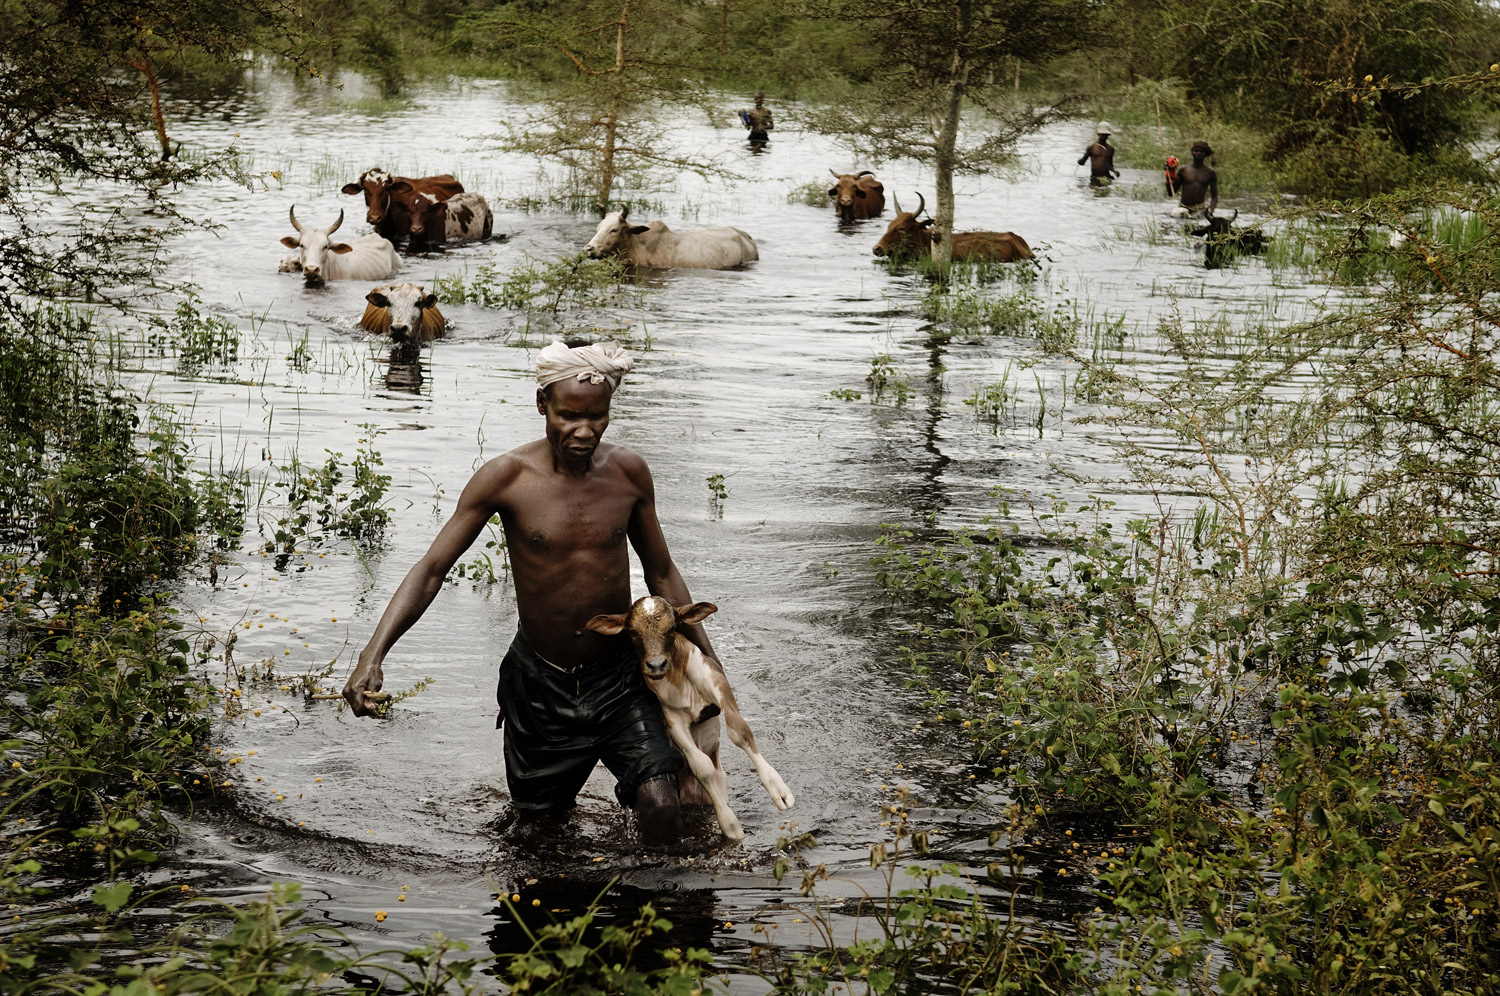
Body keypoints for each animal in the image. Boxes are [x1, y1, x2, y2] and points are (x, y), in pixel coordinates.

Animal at [585, 600, 798, 840]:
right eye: (633, 632)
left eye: (671, 628)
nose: (656, 664)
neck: (677, 679)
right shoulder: (673, 720)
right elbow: (701, 766)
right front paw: (730, 824)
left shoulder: (717, 684)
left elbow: (739, 731)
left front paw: (778, 789)